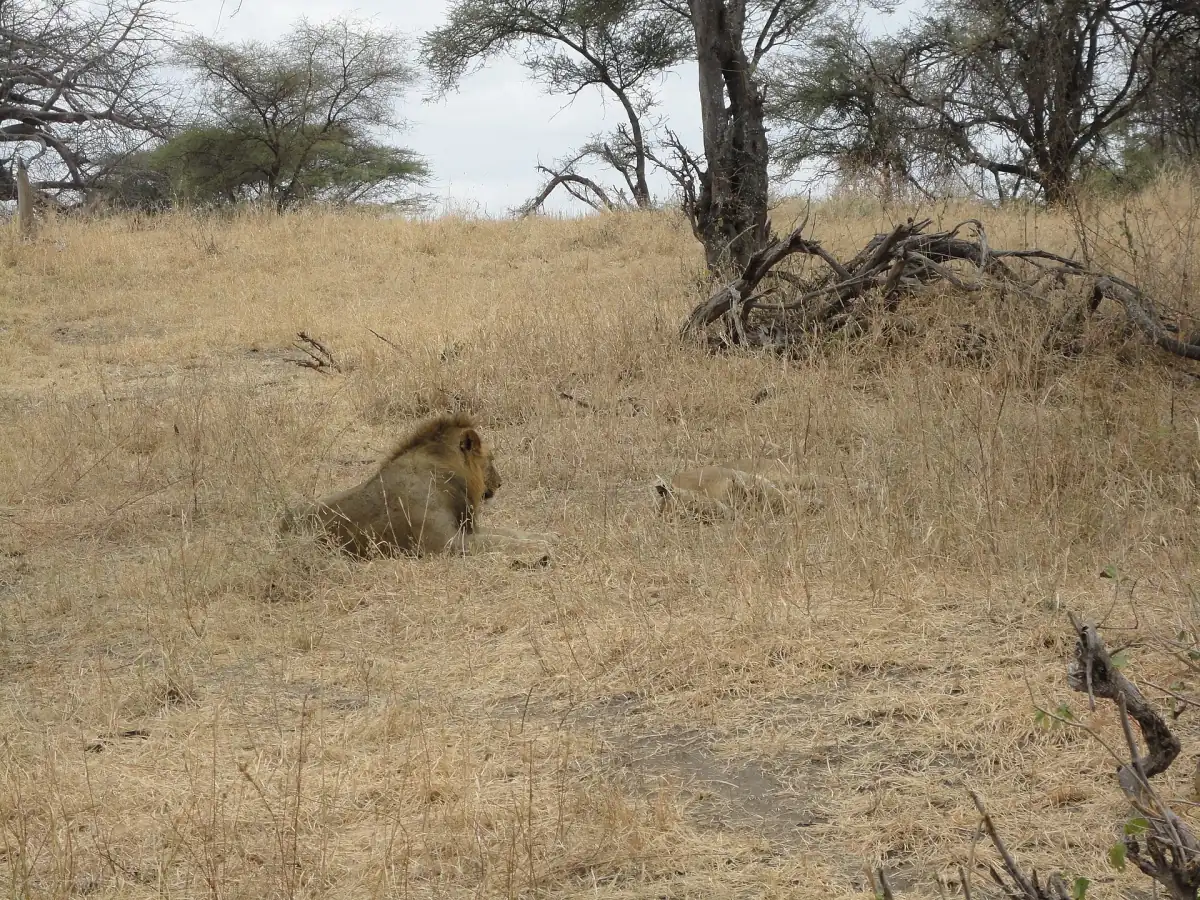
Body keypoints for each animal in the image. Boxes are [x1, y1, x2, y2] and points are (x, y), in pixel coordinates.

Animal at [281, 412, 555, 560]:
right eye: (492, 460)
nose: (500, 483)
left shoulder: (467, 529)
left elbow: (510, 532)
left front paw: (546, 536)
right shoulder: (445, 543)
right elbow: (498, 541)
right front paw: (538, 547)